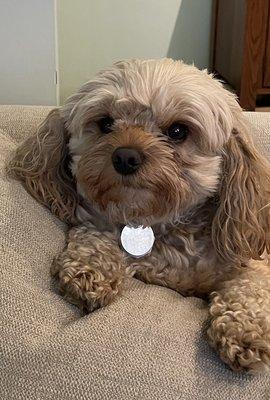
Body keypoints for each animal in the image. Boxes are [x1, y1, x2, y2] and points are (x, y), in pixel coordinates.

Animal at [7, 58, 270, 372]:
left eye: (178, 131)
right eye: (105, 123)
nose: (125, 157)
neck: (154, 221)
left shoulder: (253, 263)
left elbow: (252, 288)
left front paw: (245, 329)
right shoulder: (100, 222)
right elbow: (93, 234)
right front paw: (90, 268)